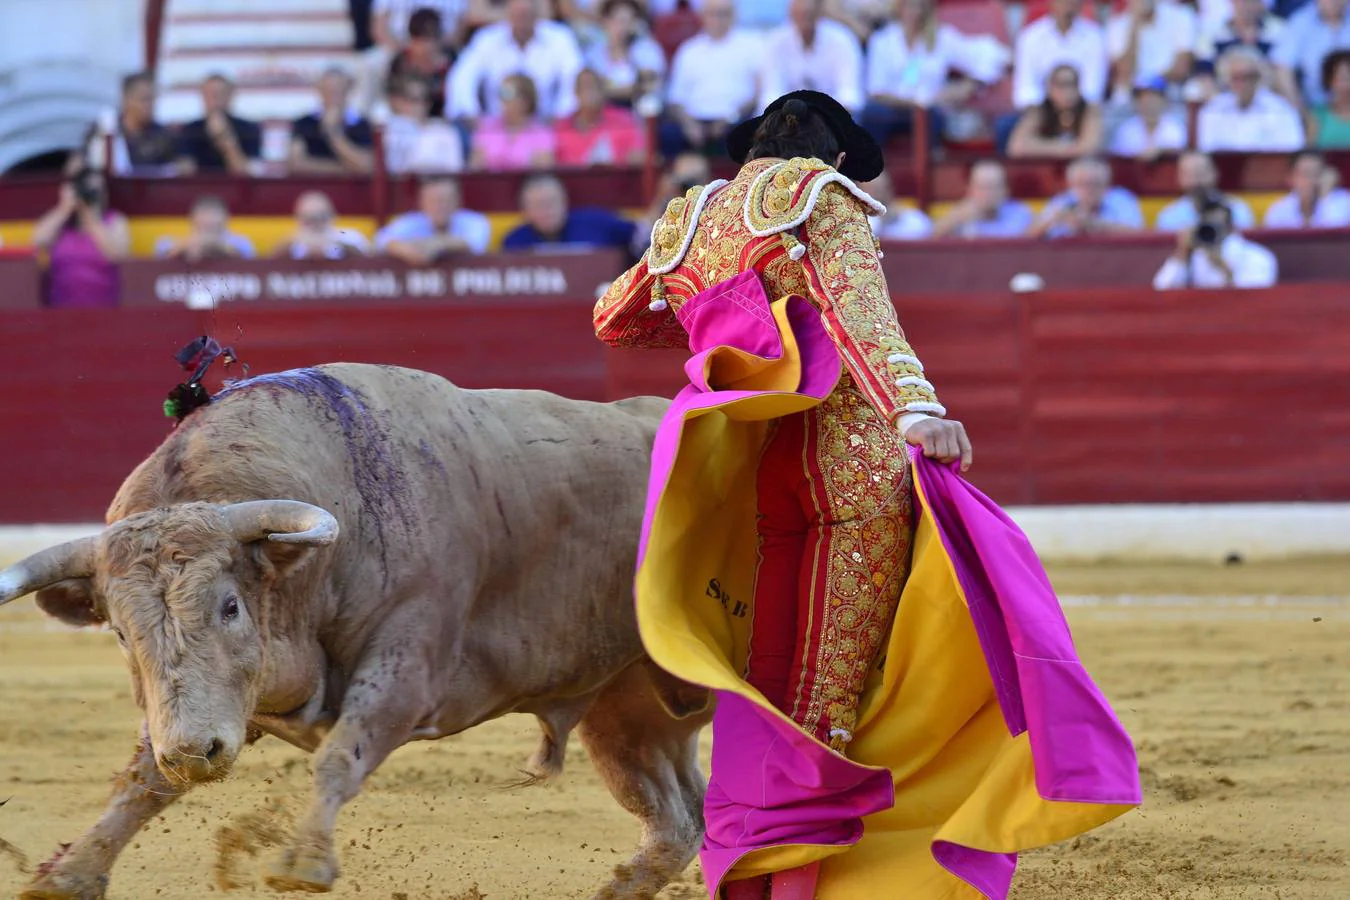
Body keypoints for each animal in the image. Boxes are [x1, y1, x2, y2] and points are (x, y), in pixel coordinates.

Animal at [0, 364, 712, 900]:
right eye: (122, 634)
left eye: (230, 606)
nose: (195, 752)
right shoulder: (217, 705)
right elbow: (142, 780)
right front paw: (68, 872)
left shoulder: (406, 667)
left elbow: (342, 753)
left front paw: (302, 864)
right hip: (628, 708)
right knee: (680, 819)